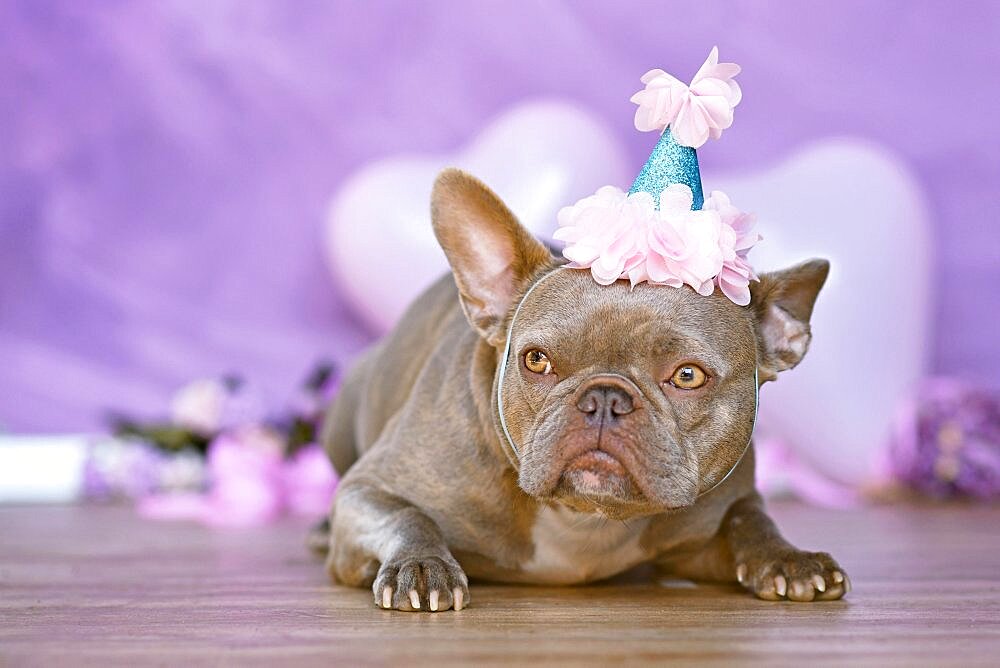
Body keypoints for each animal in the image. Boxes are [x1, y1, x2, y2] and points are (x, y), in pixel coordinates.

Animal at [316, 167, 848, 612]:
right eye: (536, 360)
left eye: (687, 375)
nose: (605, 398)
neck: (585, 517)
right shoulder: (367, 490)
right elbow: (405, 516)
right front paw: (422, 566)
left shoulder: (710, 528)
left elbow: (750, 519)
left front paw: (789, 558)